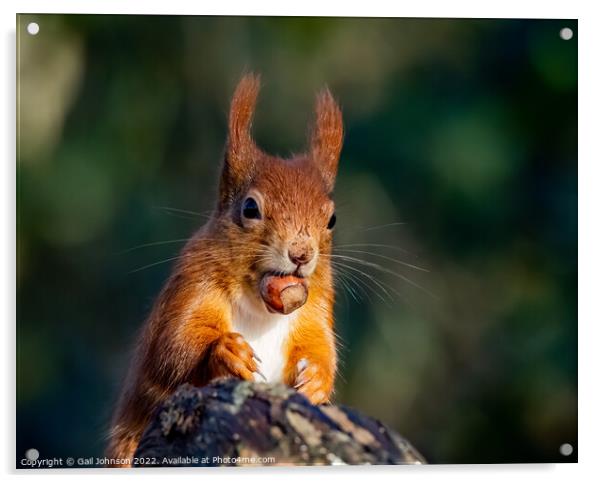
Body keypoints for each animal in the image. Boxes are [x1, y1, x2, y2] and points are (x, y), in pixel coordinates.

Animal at [106, 73, 342, 466]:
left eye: (332, 219)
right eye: (250, 208)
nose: (301, 253)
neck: (261, 306)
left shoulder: (315, 308)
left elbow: (319, 344)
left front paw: (318, 380)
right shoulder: (193, 284)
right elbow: (173, 348)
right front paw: (226, 352)